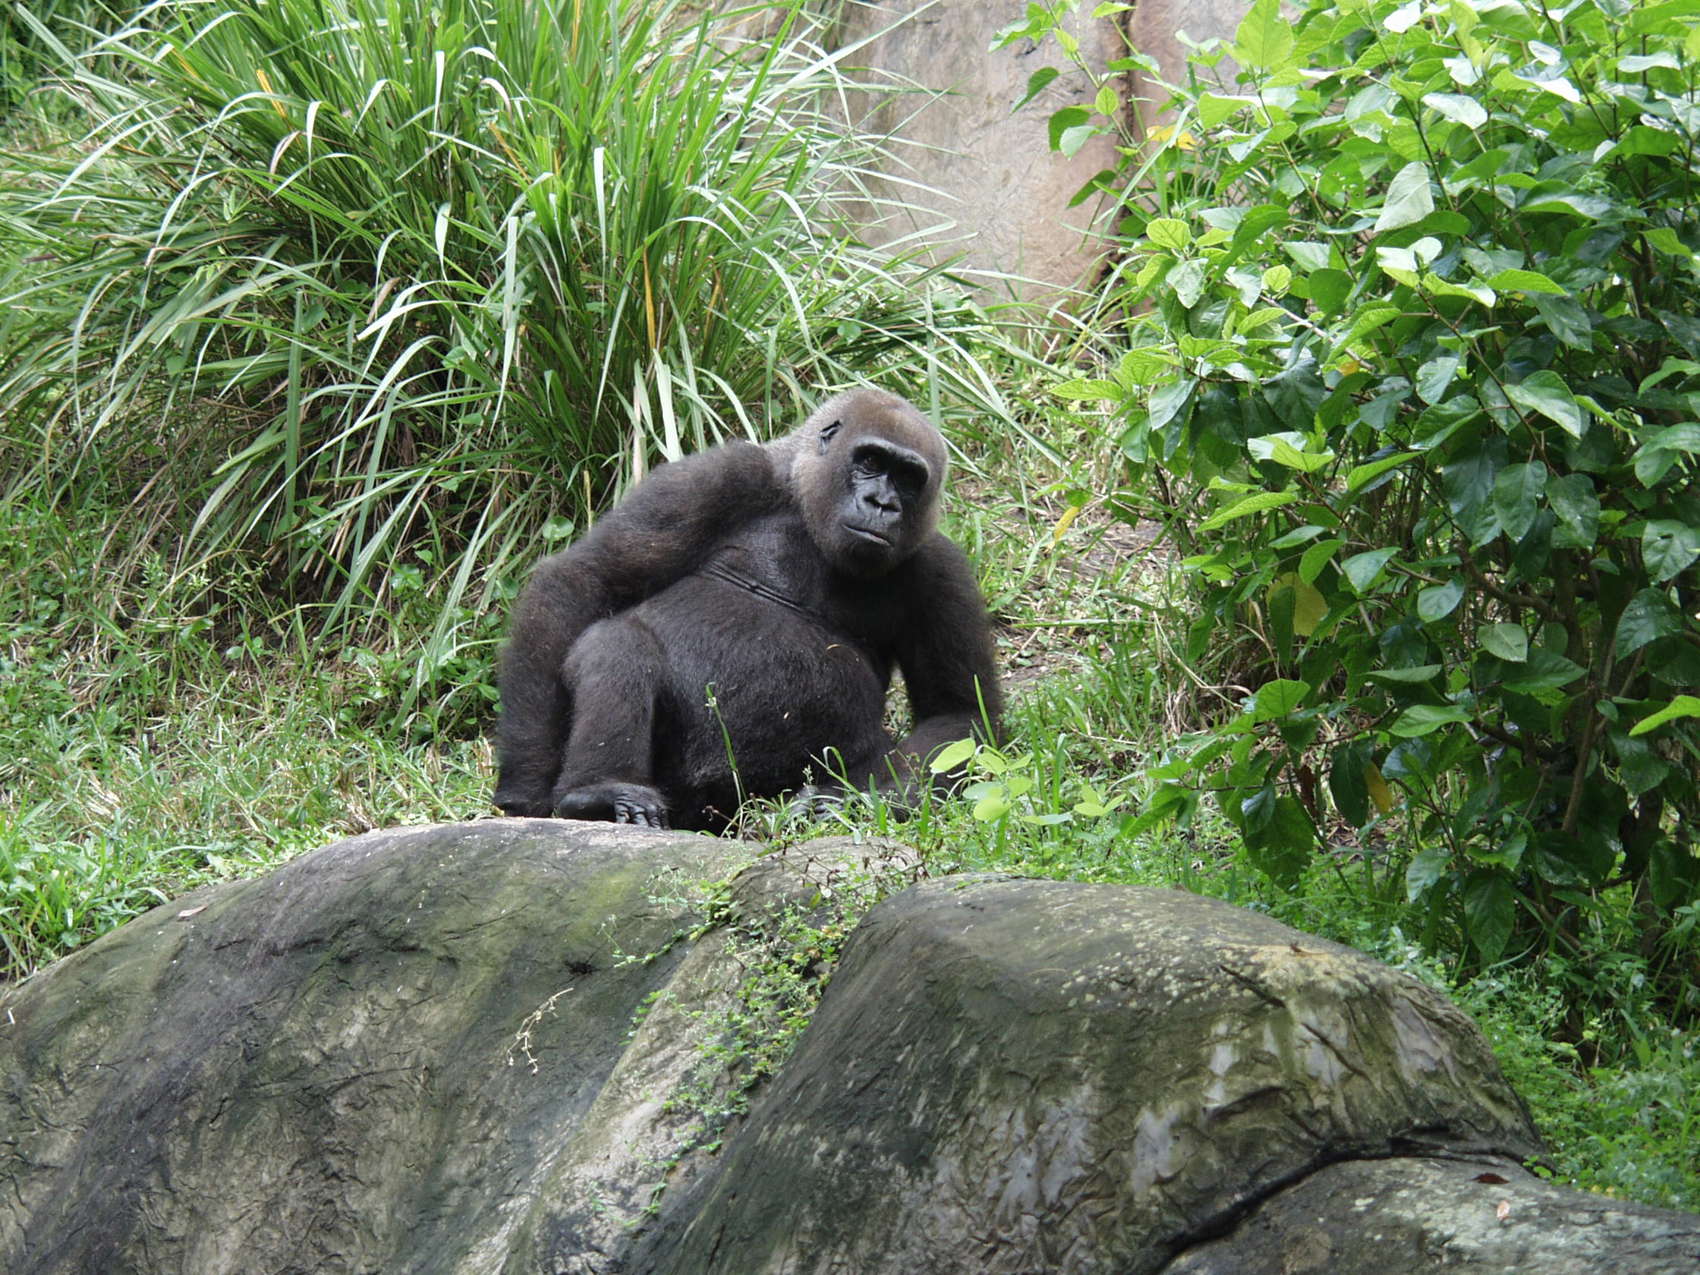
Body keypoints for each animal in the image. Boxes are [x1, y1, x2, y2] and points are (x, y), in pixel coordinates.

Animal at [492, 387, 1002, 831]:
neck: (800, 493)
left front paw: (860, 799)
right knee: (616, 641)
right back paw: (598, 792)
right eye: (871, 462)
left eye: (909, 479)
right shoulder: (719, 476)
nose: (882, 504)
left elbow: (957, 713)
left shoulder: (940, 566)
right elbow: (585, 579)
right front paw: (526, 786)